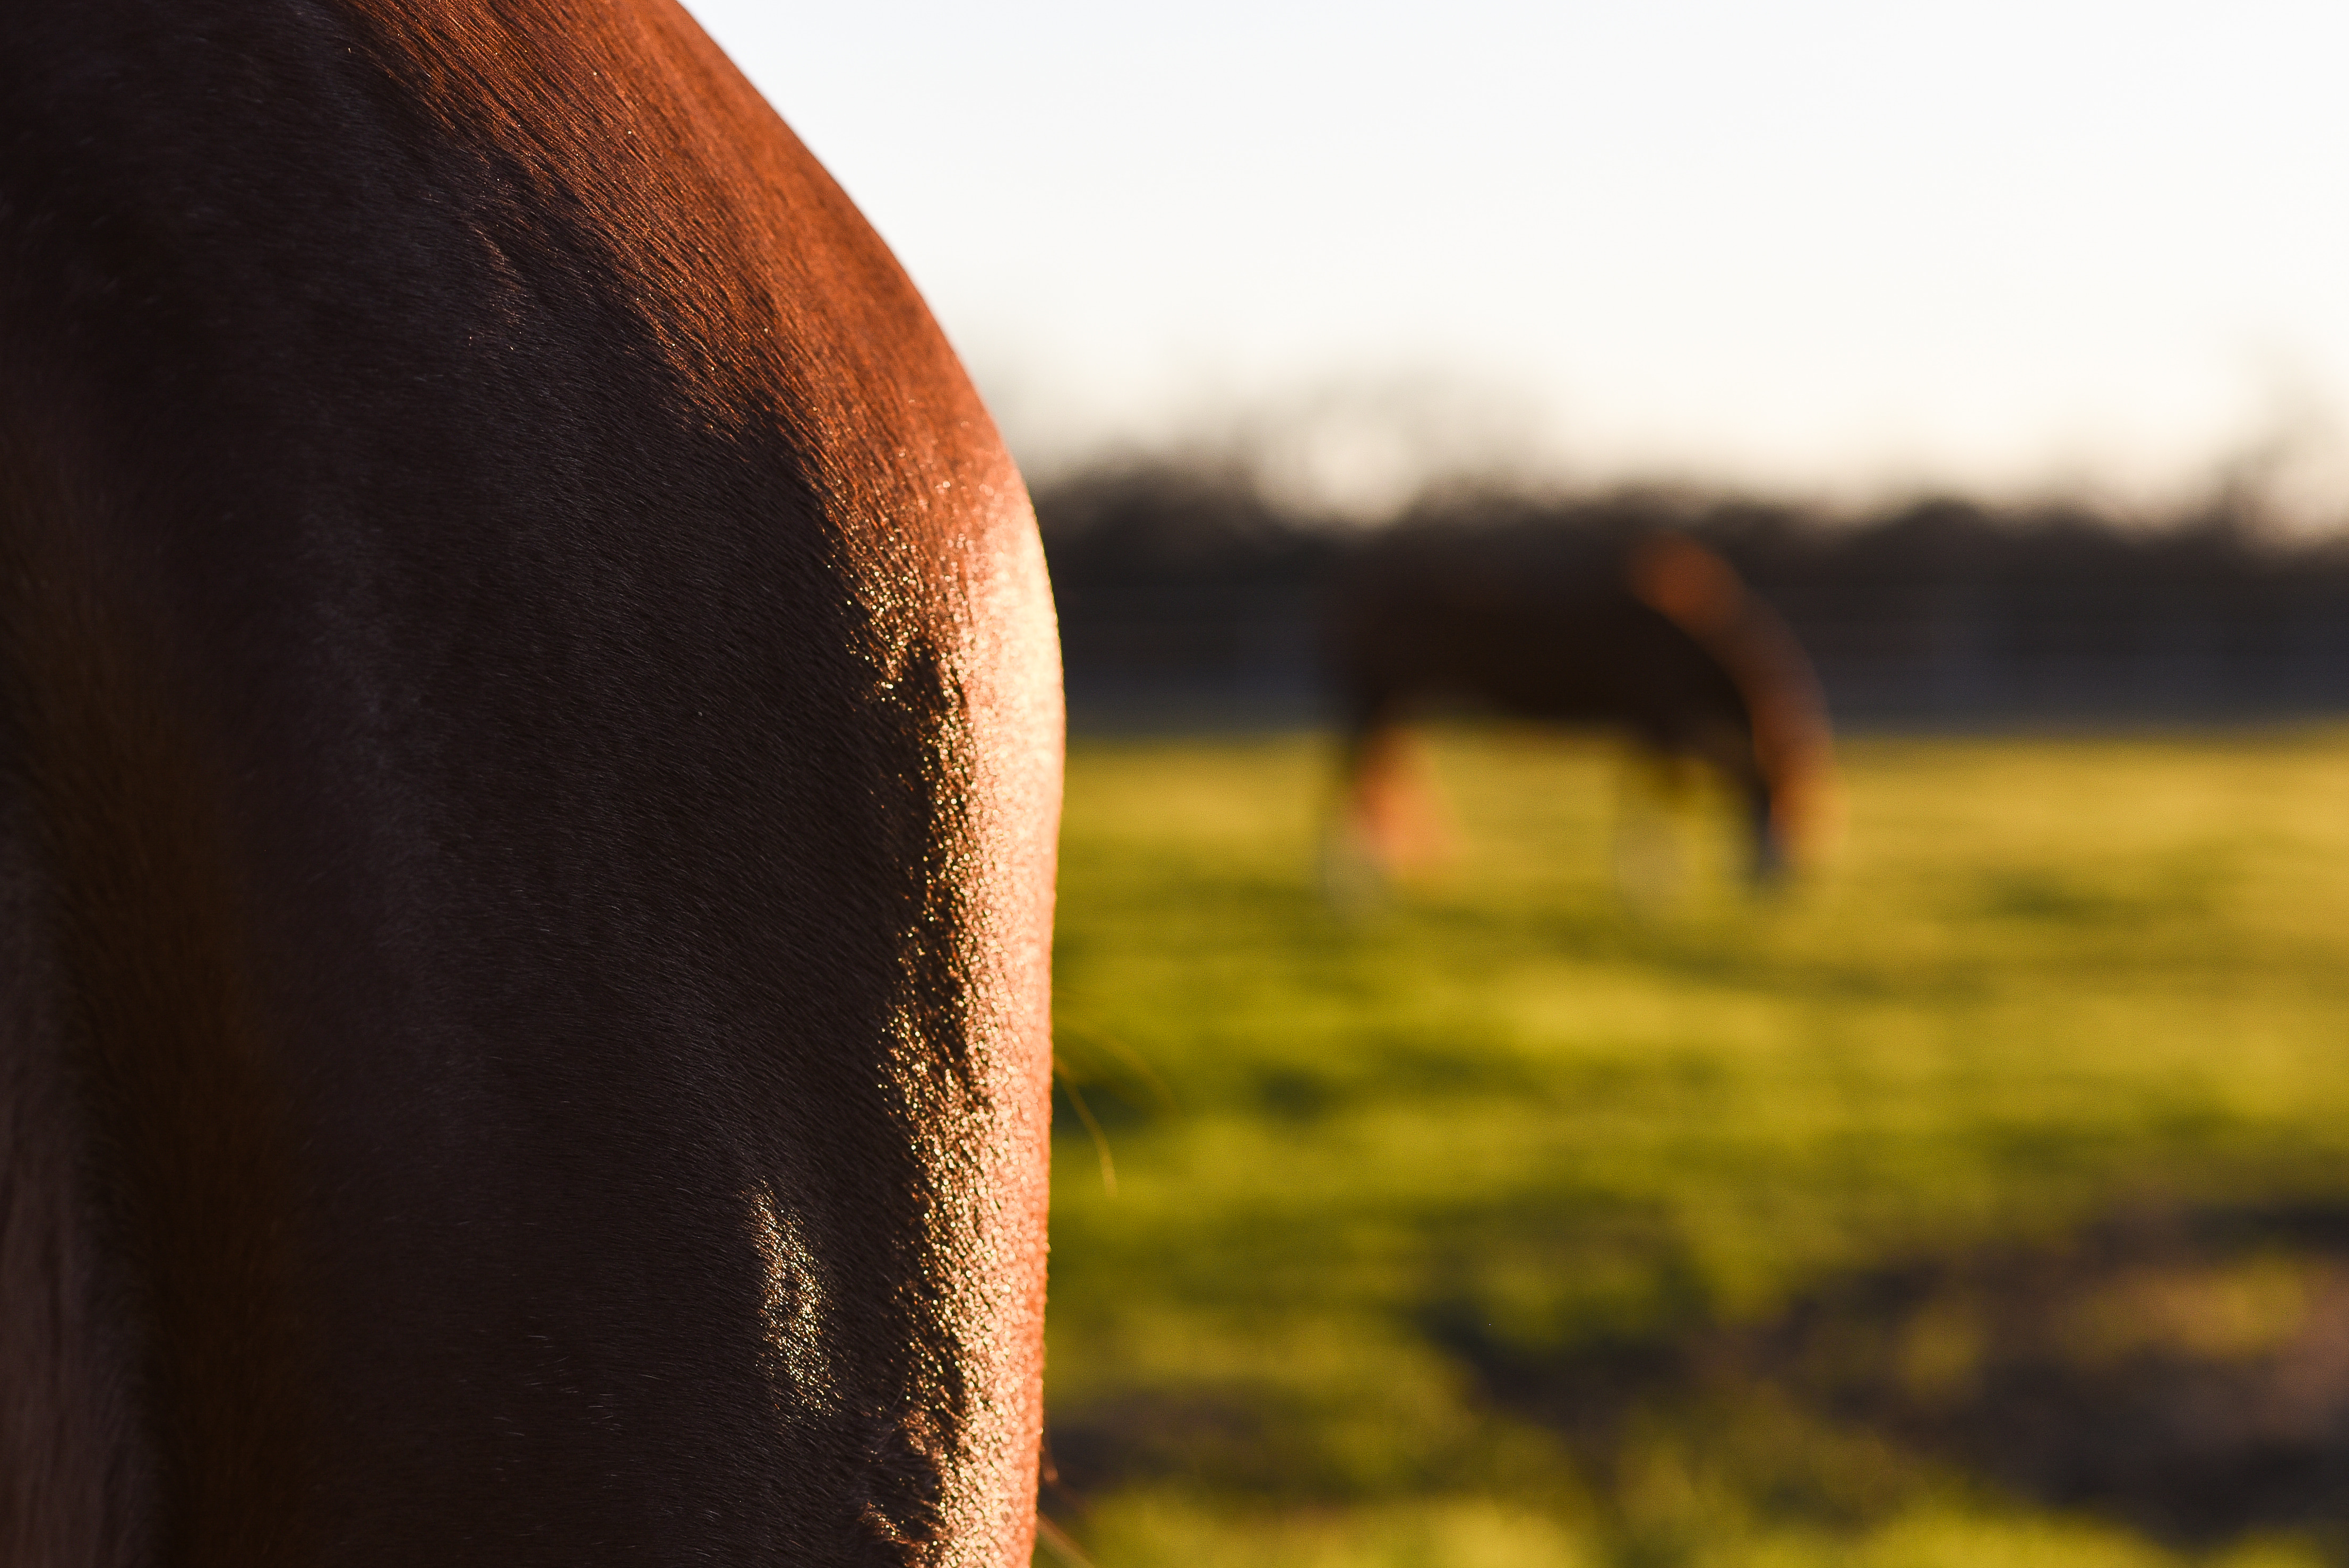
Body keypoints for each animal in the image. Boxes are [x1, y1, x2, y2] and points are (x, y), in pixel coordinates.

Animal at [1324, 521, 1832, 887]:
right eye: (1787, 805)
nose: (1781, 884)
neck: (1676, 632)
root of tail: (1365, 581)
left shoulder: (1643, 725)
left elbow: (1639, 794)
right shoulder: (1659, 720)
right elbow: (1664, 796)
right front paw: (1652, 891)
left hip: (1396, 701)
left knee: (1377, 771)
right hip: (1380, 695)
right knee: (1355, 772)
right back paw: (1353, 890)